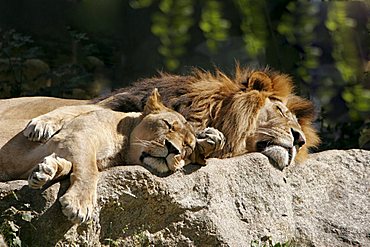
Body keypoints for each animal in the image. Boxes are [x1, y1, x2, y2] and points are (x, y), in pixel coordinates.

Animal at [0, 89, 224, 224]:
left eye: (187, 146)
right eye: (167, 124)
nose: (173, 149)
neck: (122, 149)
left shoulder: (69, 141)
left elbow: (73, 166)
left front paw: (46, 170)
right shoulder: (78, 135)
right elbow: (90, 171)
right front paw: (79, 204)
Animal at [23, 65, 320, 170]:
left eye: (297, 123)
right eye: (280, 112)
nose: (300, 140)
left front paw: (209, 140)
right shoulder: (123, 100)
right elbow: (78, 110)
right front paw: (41, 124)